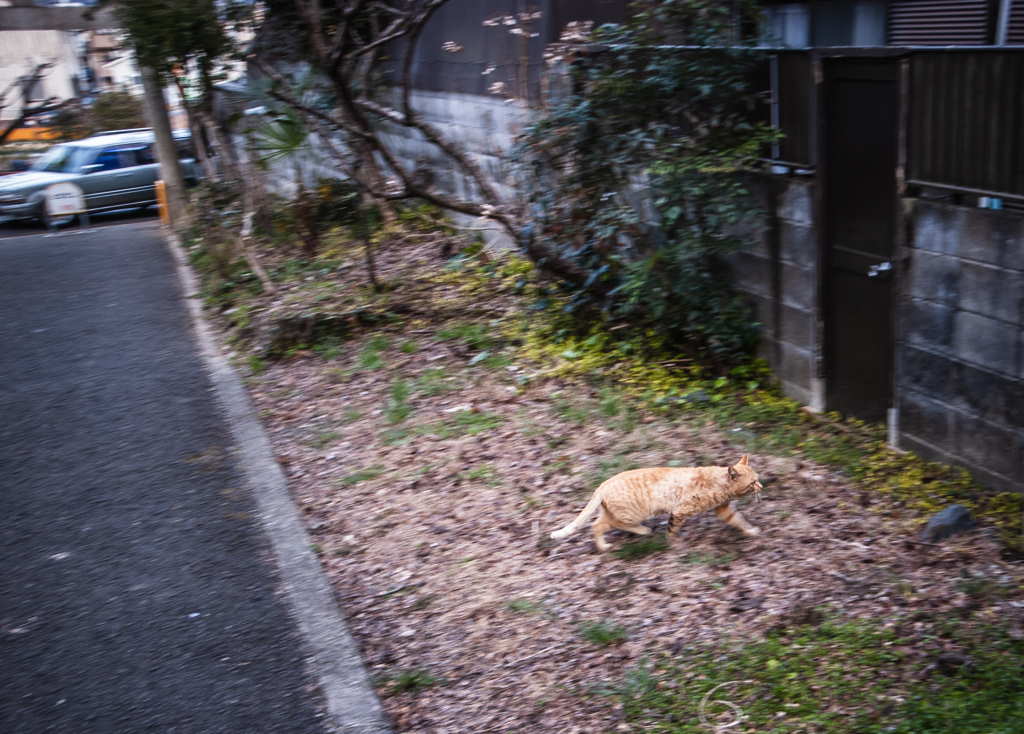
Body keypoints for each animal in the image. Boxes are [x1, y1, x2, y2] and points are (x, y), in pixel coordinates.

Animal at [552, 452, 761, 548]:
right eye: (752, 482)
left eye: (757, 479)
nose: (761, 487)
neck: (717, 482)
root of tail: (604, 484)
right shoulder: (679, 512)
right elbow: (671, 530)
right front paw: (670, 543)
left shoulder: (723, 509)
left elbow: (739, 521)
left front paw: (751, 531)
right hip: (631, 514)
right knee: (610, 524)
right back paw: (642, 531)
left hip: (611, 513)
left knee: (597, 524)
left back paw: (604, 545)